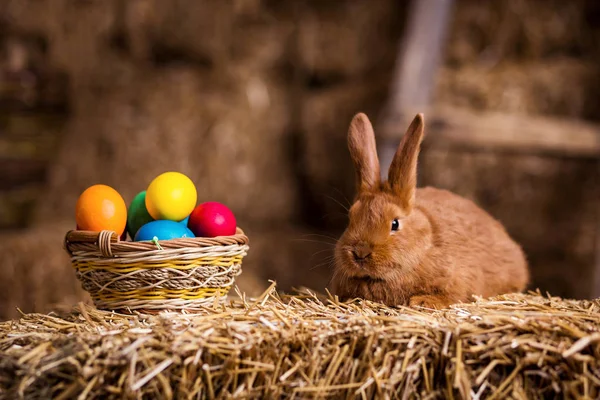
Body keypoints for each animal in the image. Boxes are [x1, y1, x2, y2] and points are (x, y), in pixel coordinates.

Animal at [328, 112, 528, 310]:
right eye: (351, 218)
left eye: (395, 223)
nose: (360, 252)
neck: (426, 245)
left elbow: (453, 296)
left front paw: (422, 302)